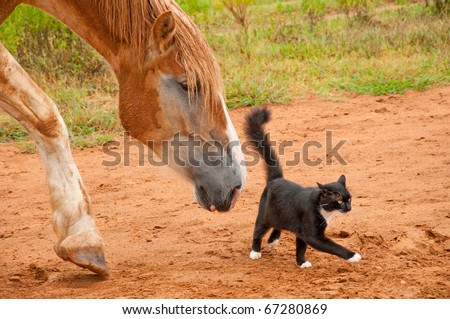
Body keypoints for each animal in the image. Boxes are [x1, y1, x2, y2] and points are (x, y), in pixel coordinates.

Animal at [244, 107, 360, 268]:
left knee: (279, 224)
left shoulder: (302, 231)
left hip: (282, 213)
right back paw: (255, 251)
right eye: (340, 201)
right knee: (258, 231)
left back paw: (273, 241)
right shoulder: (312, 234)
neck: (324, 209)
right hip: (265, 214)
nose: (349, 208)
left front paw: (301, 263)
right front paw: (354, 256)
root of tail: (277, 178)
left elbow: (301, 247)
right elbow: (333, 246)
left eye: (349, 200)